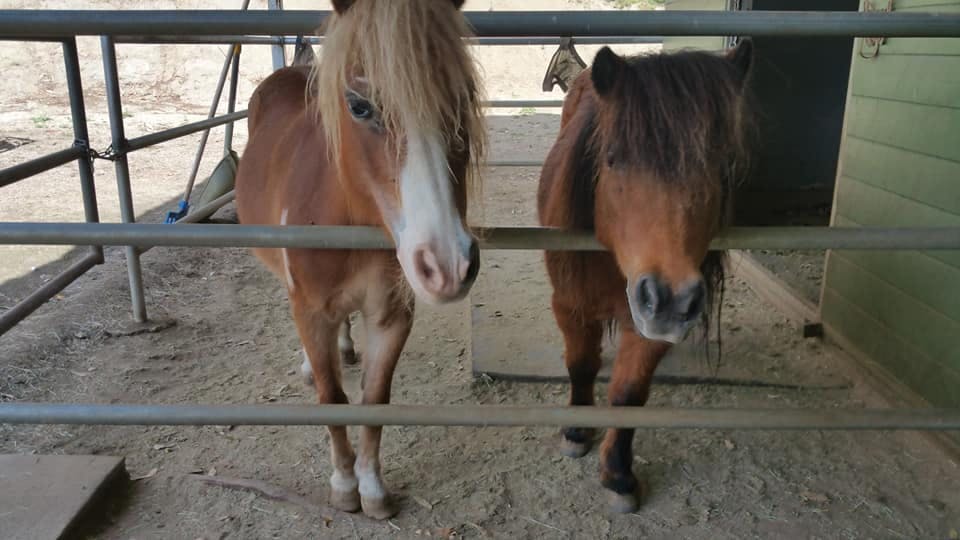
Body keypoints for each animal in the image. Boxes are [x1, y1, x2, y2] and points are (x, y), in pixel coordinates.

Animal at [234, 0, 485, 520]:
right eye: (360, 106)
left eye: (465, 94)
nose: (448, 265)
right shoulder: (310, 312)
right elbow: (333, 398)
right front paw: (344, 485)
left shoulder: (391, 316)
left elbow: (374, 398)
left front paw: (371, 488)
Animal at [537, 39, 755, 513]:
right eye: (612, 158)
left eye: (721, 164)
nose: (670, 300)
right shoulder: (568, 304)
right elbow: (581, 364)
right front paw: (577, 431)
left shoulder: (648, 330)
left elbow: (629, 393)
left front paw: (618, 474)